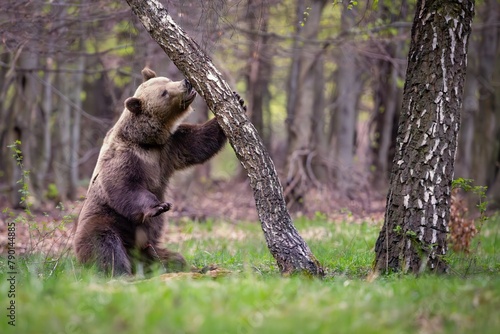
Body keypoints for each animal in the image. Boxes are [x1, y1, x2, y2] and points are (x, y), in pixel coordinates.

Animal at [74, 68, 236, 276]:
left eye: (167, 80)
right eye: (164, 93)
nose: (186, 82)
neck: (146, 141)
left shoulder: (169, 147)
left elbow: (198, 143)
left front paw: (236, 103)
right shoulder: (125, 157)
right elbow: (124, 186)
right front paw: (159, 206)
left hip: (149, 249)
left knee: (171, 259)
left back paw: (194, 268)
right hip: (105, 222)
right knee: (105, 245)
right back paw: (120, 272)